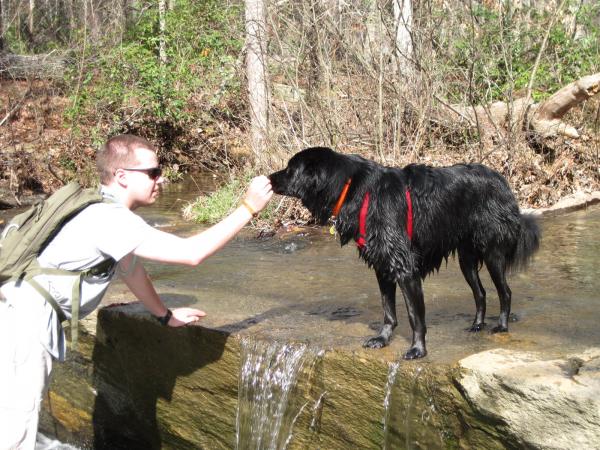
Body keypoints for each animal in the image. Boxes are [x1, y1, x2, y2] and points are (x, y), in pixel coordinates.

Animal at [270, 148, 540, 358]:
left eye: (290, 169)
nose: (269, 177)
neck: (354, 189)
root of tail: (502, 180)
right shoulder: (383, 267)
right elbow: (389, 312)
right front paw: (382, 339)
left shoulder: (405, 269)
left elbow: (415, 316)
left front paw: (418, 350)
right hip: (467, 259)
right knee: (481, 292)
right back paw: (477, 325)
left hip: (492, 252)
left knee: (505, 291)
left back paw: (501, 326)